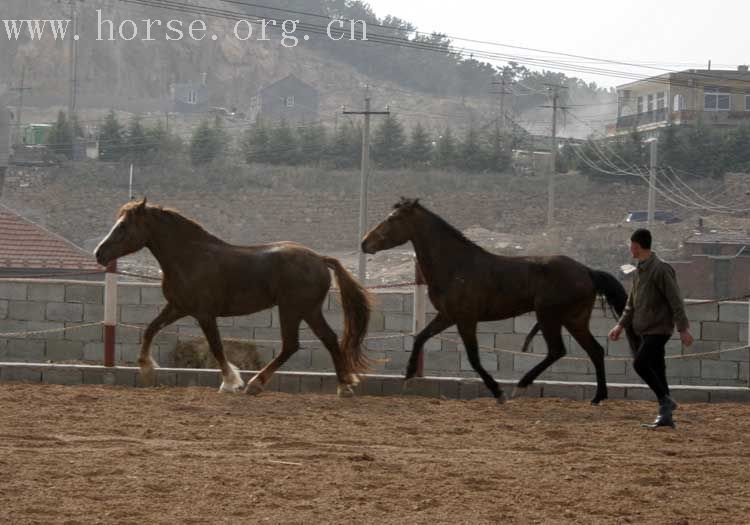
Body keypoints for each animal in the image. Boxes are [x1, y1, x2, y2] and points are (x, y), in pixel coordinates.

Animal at [95, 199, 372, 396]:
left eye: (123, 226)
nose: (99, 253)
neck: (189, 257)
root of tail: (320, 259)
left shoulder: (205, 314)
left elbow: (216, 346)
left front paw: (230, 382)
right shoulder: (177, 307)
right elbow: (151, 329)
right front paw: (146, 368)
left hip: (291, 310)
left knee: (291, 345)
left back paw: (255, 384)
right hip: (309, 310)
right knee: (329, 339)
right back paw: (344, 386)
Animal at [362, 198, 636, 406]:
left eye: (393, 219)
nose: (365, 243)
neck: (455, 266)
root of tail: (587, 271)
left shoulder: (466, 319)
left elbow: (474, 358)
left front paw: (498, 393)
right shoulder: (447, 316)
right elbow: (420, 337)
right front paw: (408, 376)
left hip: (549, 317)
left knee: (558, 350)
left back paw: (520, 387)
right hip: (574, 319)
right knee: (595, 351)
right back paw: (598, 397)